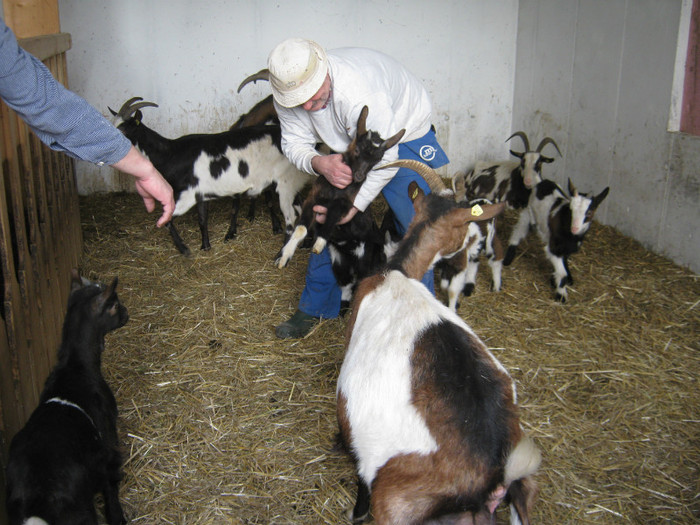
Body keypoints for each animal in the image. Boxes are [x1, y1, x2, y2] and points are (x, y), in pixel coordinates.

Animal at [5, 270, 130, 524]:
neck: (75, 367)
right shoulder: (107, 438)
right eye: (114, 304)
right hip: (80, 513)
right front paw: (118, 516)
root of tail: (36, 501)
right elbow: (111, 485)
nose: (126, 314)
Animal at [109, 98, 308, 256]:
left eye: (125, 129)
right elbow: (202, 220)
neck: (171, 153)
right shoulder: (201, 194)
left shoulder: (188, 195)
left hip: (285, 182)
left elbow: (168, 221)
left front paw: (184, 249)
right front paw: (205, 245)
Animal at [340, 181, 540, 524]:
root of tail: (493, 475)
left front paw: (356, 511)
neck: (396, 272)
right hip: (521, 491)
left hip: (397, 506)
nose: (476, 245)